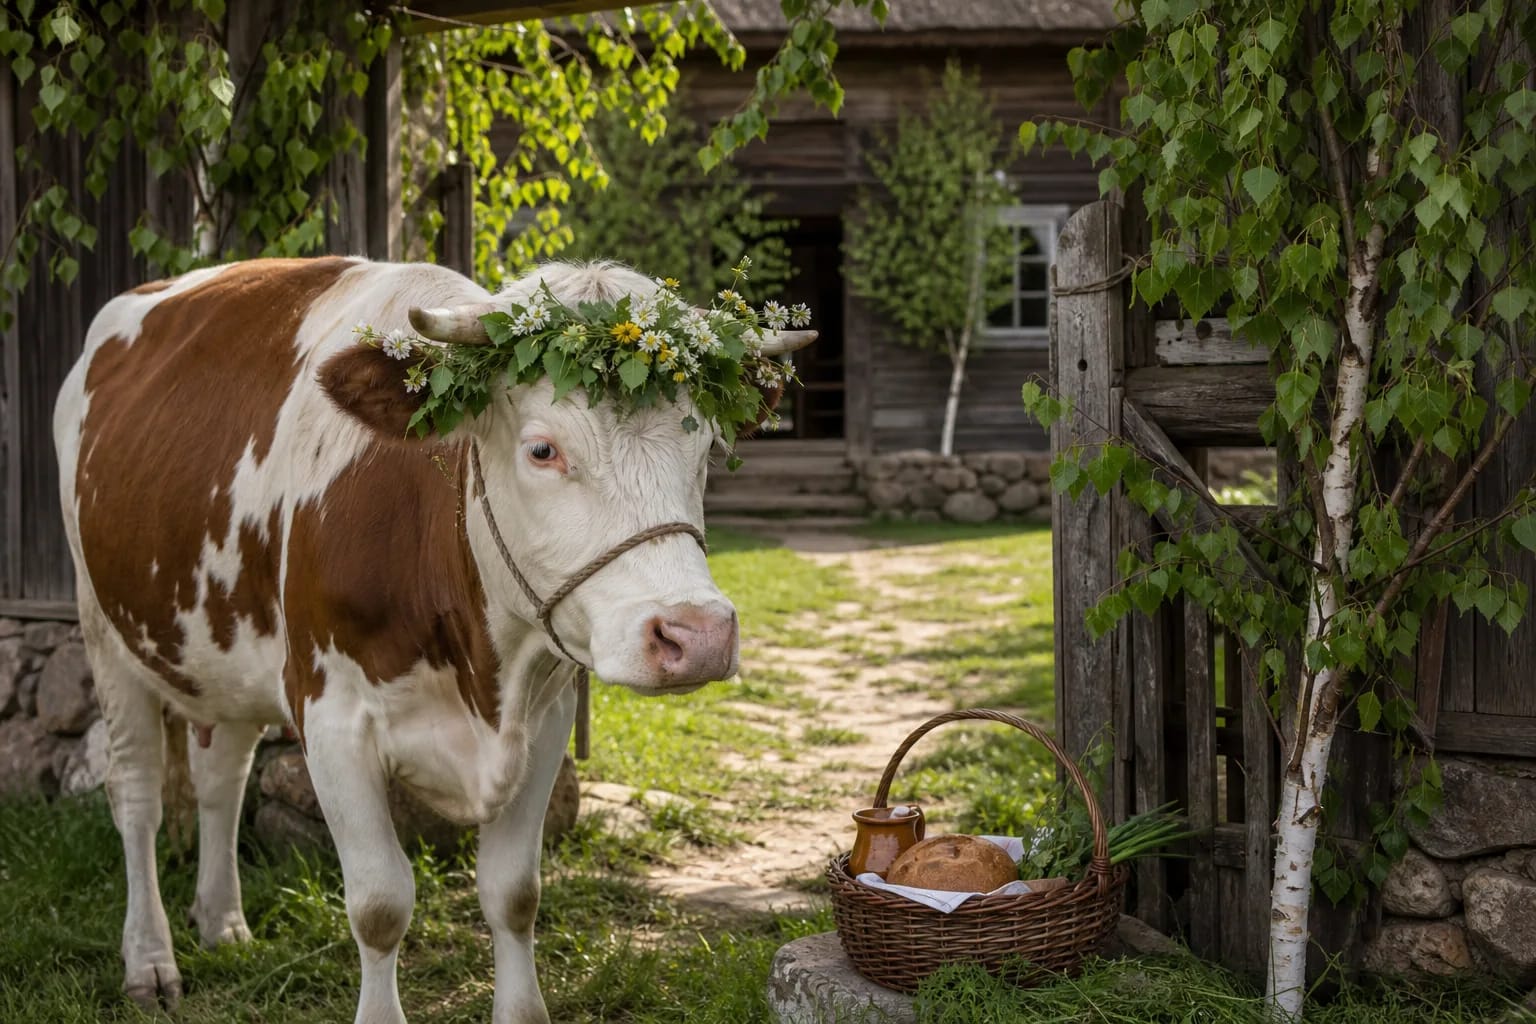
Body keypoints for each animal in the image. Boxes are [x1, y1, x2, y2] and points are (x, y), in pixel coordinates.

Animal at [52, 256, 814, 1023]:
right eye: (543, 449)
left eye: (708, 448)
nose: (699, 634)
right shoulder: (332, 719)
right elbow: (380, 905)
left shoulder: (546, 717)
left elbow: (514, 894)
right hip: (104, 629)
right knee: (136, 795)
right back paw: (151, 961)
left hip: (226, 650)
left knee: (221, 778)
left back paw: (222, 923)